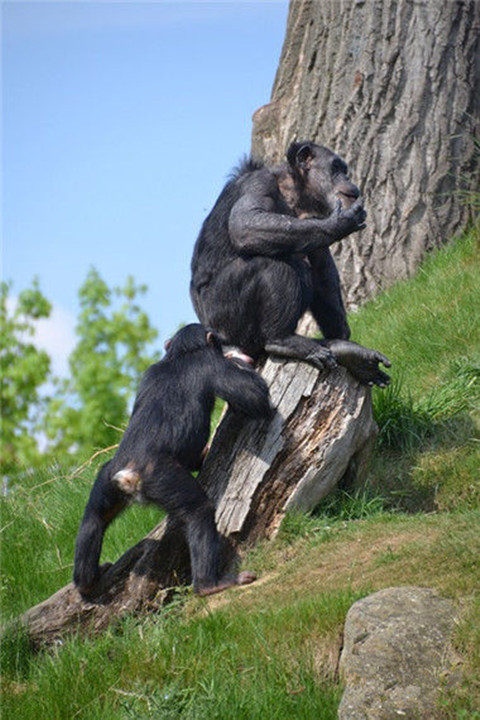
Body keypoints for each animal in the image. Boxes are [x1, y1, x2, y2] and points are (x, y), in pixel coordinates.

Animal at [73, 324, 272, 600]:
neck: (180, 354)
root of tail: (127, 475)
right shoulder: (213, 365)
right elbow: (256, 398)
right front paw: (238, 359)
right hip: (162, 477)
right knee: (199, 511)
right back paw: (211, 584)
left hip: (106, 478)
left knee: (94, 517)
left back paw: (87, 583)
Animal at [189, 141, 392, 388]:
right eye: (336, 167)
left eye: (344, 169)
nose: (348, 179)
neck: (294, 192)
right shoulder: (258, 184)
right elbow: (245, 224)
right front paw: (340, 222)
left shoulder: (312, 223)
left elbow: (322, 266)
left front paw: (342, 338)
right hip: (225, 319)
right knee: (273, 263)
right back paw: (283, 340)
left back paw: (343, 351)